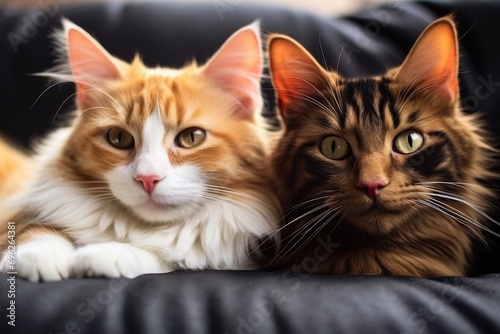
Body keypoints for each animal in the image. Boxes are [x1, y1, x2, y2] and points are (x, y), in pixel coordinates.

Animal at [0, 20, 282, 282]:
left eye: (192, 137)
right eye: (119, 138)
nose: (148, 179)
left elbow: (157, 255)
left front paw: (104, 254)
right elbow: (36, 231)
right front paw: (41, 256)